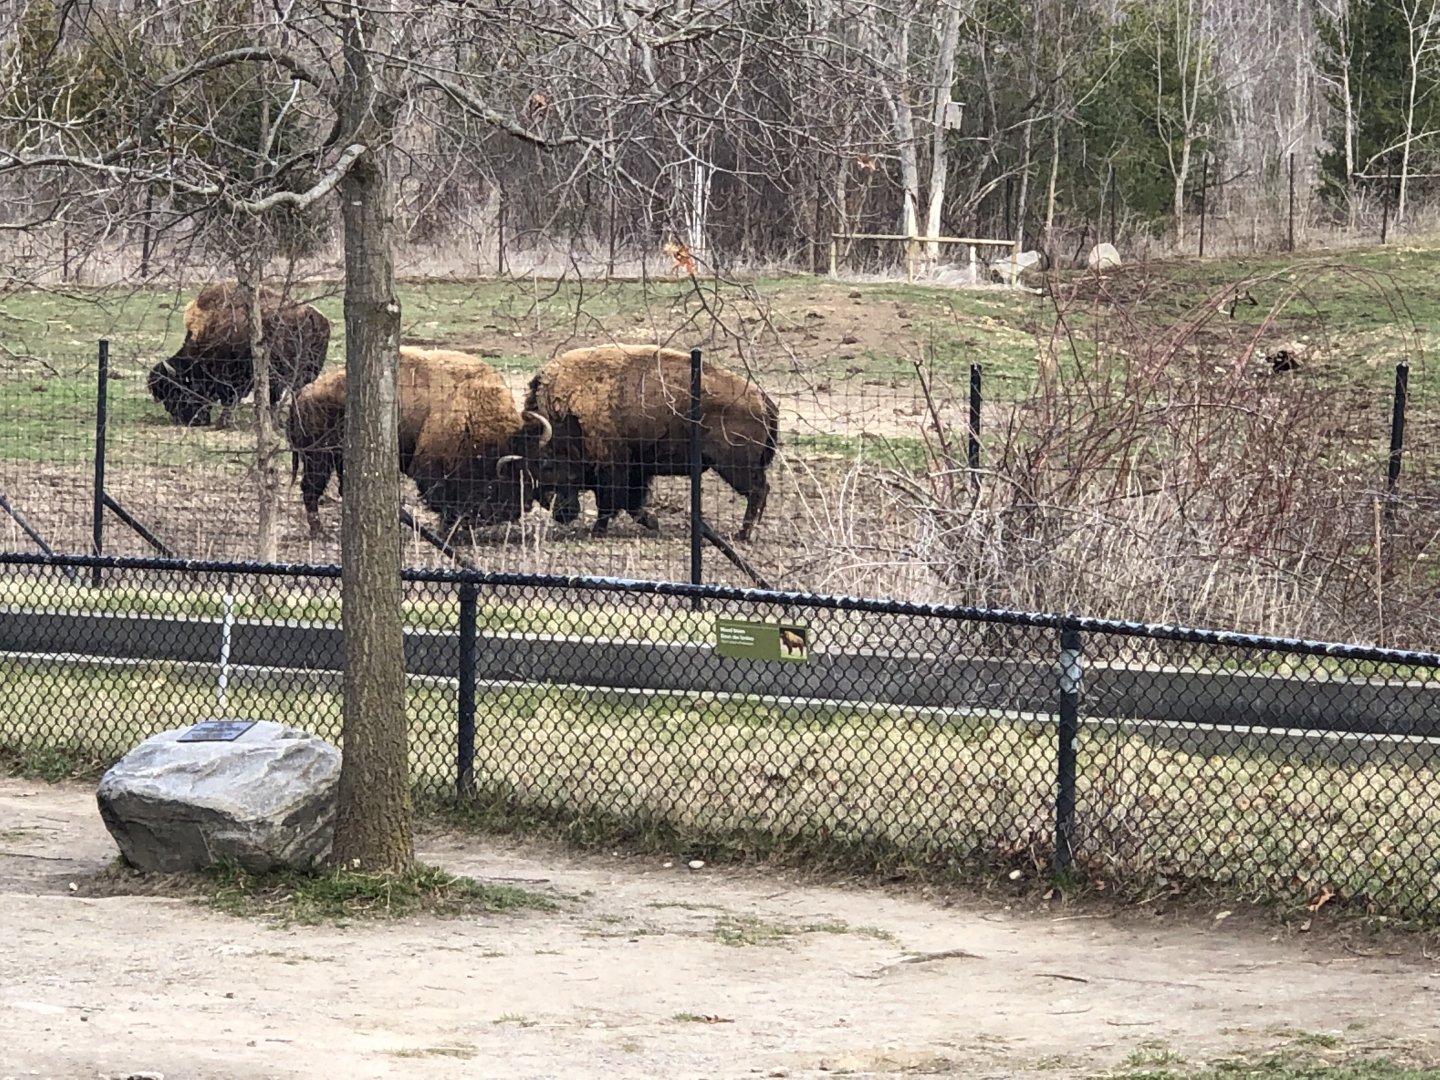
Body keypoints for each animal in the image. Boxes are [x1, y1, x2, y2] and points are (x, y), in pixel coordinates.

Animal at [149, 282, 329, 427]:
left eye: (175, 391)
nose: (185, 420)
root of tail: (309, 314)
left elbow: (230, 398)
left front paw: (223, 421)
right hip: (308, 372)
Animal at [287, 346, 552, 540]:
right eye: (510, 475)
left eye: (530, 468)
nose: (522, 507)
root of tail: (303, 393)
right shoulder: (431, 468)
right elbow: (443, 501)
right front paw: (449, 530)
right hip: (318, 458)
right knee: (311, 488)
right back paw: (319, 533)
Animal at [523, 344, 778, 541]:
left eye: (545, 461)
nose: (560, 513)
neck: (569, 415)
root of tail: (762, 399)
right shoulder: (637, 470)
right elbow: (632, 504)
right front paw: (654, 523)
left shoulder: (613, 469)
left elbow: (610, 503)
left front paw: (597, 530)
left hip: (734, 466)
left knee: (758, 490)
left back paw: (743, 534)